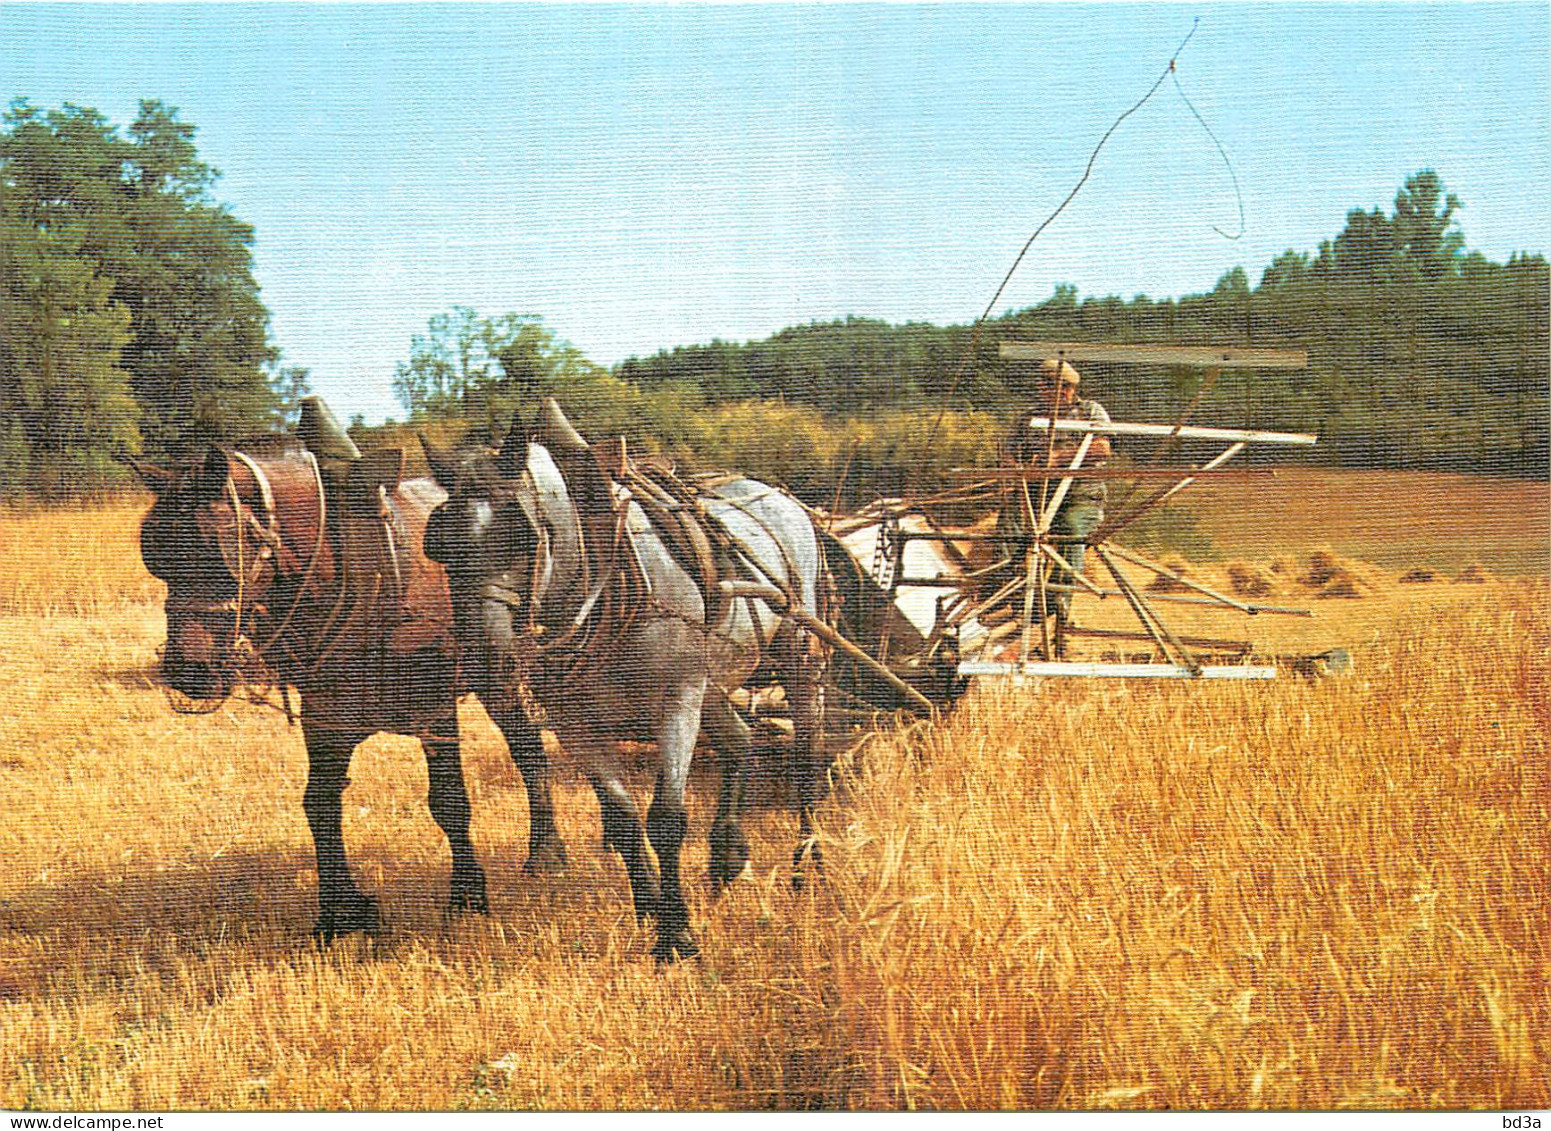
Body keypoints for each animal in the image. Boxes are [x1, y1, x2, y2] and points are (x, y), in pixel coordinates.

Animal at [134, 428, 570, 937]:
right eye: (155, 557)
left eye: (219, 552)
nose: (189, 670)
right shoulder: (325, 716)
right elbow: (319, 804)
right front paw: (340, 911)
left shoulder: (435, 706)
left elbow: (450, 801)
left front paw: (467, 895)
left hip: (498, 672)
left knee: (528, 750)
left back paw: (546, 853)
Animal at [424, 400, 831, 955]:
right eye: (439, 545)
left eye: (522, 536)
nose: (486, 662)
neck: (601, 581)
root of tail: (780, 497)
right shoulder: (577, 725)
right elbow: (621, 821)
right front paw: (651, 909)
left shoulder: (676, 701)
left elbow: (666, 820)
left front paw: (676, 935)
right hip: (712, 682)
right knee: (741, 741)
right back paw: (727, 856)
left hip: (796, 654)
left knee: (807, 761)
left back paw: (807, 867)